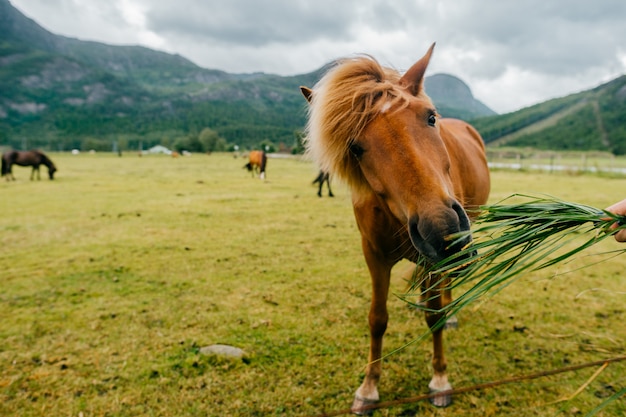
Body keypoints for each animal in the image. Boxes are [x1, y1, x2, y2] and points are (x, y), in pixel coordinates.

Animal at [300, 43, 490, 412]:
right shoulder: (373, 256)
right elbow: (377, 319)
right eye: (355, 147)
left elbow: (434, 316)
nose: (442, 229)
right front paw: (368, 387)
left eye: (430, 117)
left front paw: (440, 379)